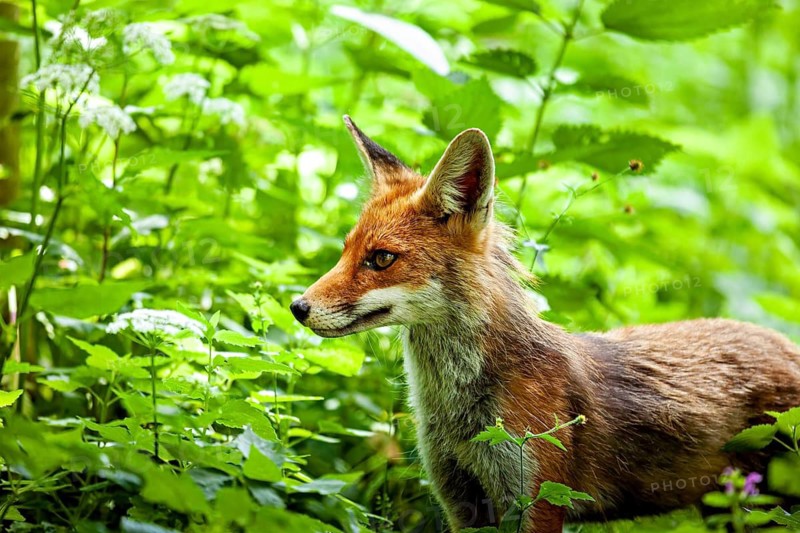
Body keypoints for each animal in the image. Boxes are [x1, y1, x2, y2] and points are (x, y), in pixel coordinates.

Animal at [289, 116, 800, 532]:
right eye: (345, 251)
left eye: (381, 259)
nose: (297, 306)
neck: (460, 409)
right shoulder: (461, 500)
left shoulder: (538, 498)